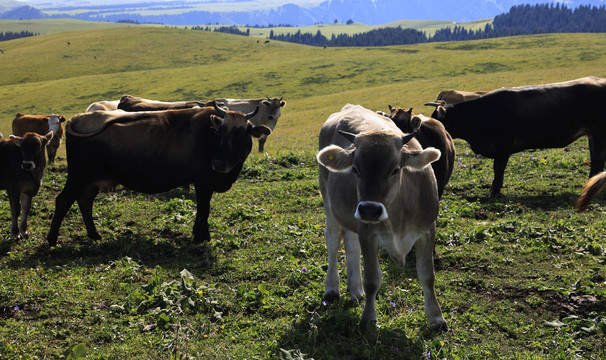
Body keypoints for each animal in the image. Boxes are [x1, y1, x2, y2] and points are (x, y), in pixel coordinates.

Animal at [47, 102, 274, 246]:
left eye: (241, 133)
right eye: (220, 132)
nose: (218, 163)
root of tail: (78, 118)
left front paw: (198, 234)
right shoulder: (203, 184)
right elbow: (204, 210)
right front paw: (202, 237)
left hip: (90, 182)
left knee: (84, 202)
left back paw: (94, 235)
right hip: (77, 177)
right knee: (63, 201)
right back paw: (52, 239)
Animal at [318, 102, 446, 330]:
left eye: (395, 170)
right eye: (356, 170)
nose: (369, 209)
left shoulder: (427, 230)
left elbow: (427, 276)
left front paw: (436, 318)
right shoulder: (368, 234)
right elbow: (372, 280)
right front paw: (369, 318)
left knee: (350, 244)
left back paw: (355, 290)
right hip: (329, 202)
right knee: (333, 240)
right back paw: (332, 289)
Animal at [426, 76, 606, 198]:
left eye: (435, 118)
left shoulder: (503, 148)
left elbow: (498, 169)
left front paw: (494, 191)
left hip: (598, 133)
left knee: (597, 161)